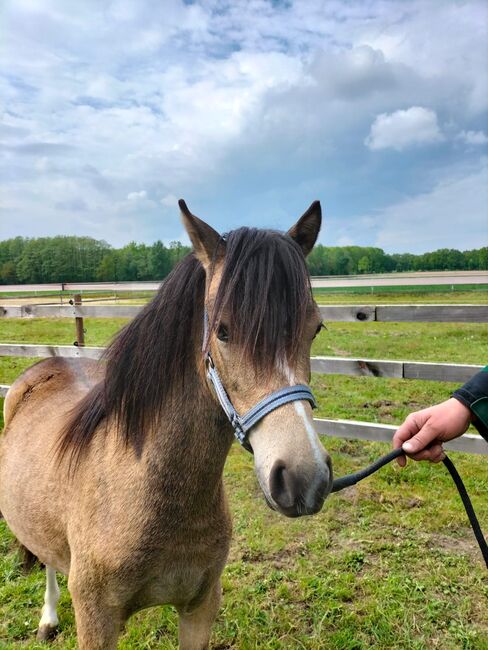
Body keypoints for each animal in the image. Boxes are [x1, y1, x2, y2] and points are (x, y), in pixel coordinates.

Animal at [0, 200, 332, 644]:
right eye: (222, 331)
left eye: (315, 328)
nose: (303, 478)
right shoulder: (95, 619)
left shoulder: (200, 607)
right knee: (48, 558)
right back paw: (49, 618)